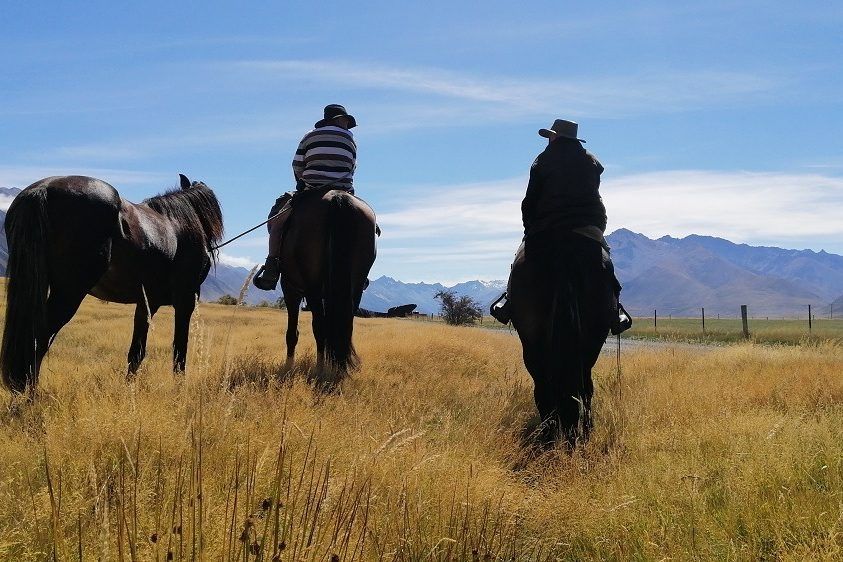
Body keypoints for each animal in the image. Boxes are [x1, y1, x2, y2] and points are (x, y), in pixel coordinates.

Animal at [0, 173, 224, 392]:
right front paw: (179, 389)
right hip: (69, 292)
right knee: (37, 340)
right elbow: (179, 350)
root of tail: (43, 189)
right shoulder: (185, 301)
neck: (181, 223)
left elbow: (137, 352)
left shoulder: (147, 303)